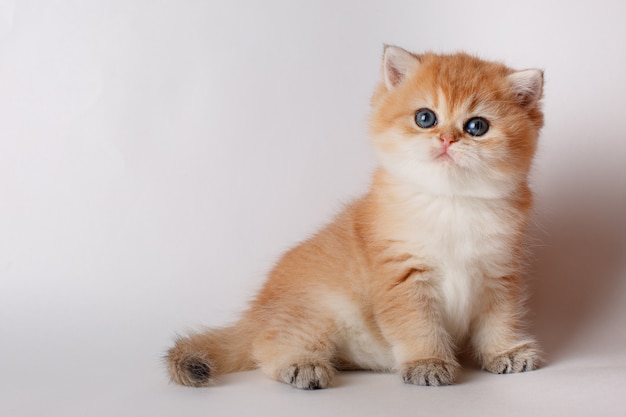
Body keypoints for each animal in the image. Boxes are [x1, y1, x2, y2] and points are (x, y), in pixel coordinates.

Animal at [166, 46, 540, 390]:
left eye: (477, 126)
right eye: (425, 118)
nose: (447, 139)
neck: (451, 202)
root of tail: (254, 315)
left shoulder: (498, 274)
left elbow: (499, 321)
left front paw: (505, 352)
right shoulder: (403, 279)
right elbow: (419, 327)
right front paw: (428, 362)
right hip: (315, 311)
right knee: (266, 346)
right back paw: (301, 365)